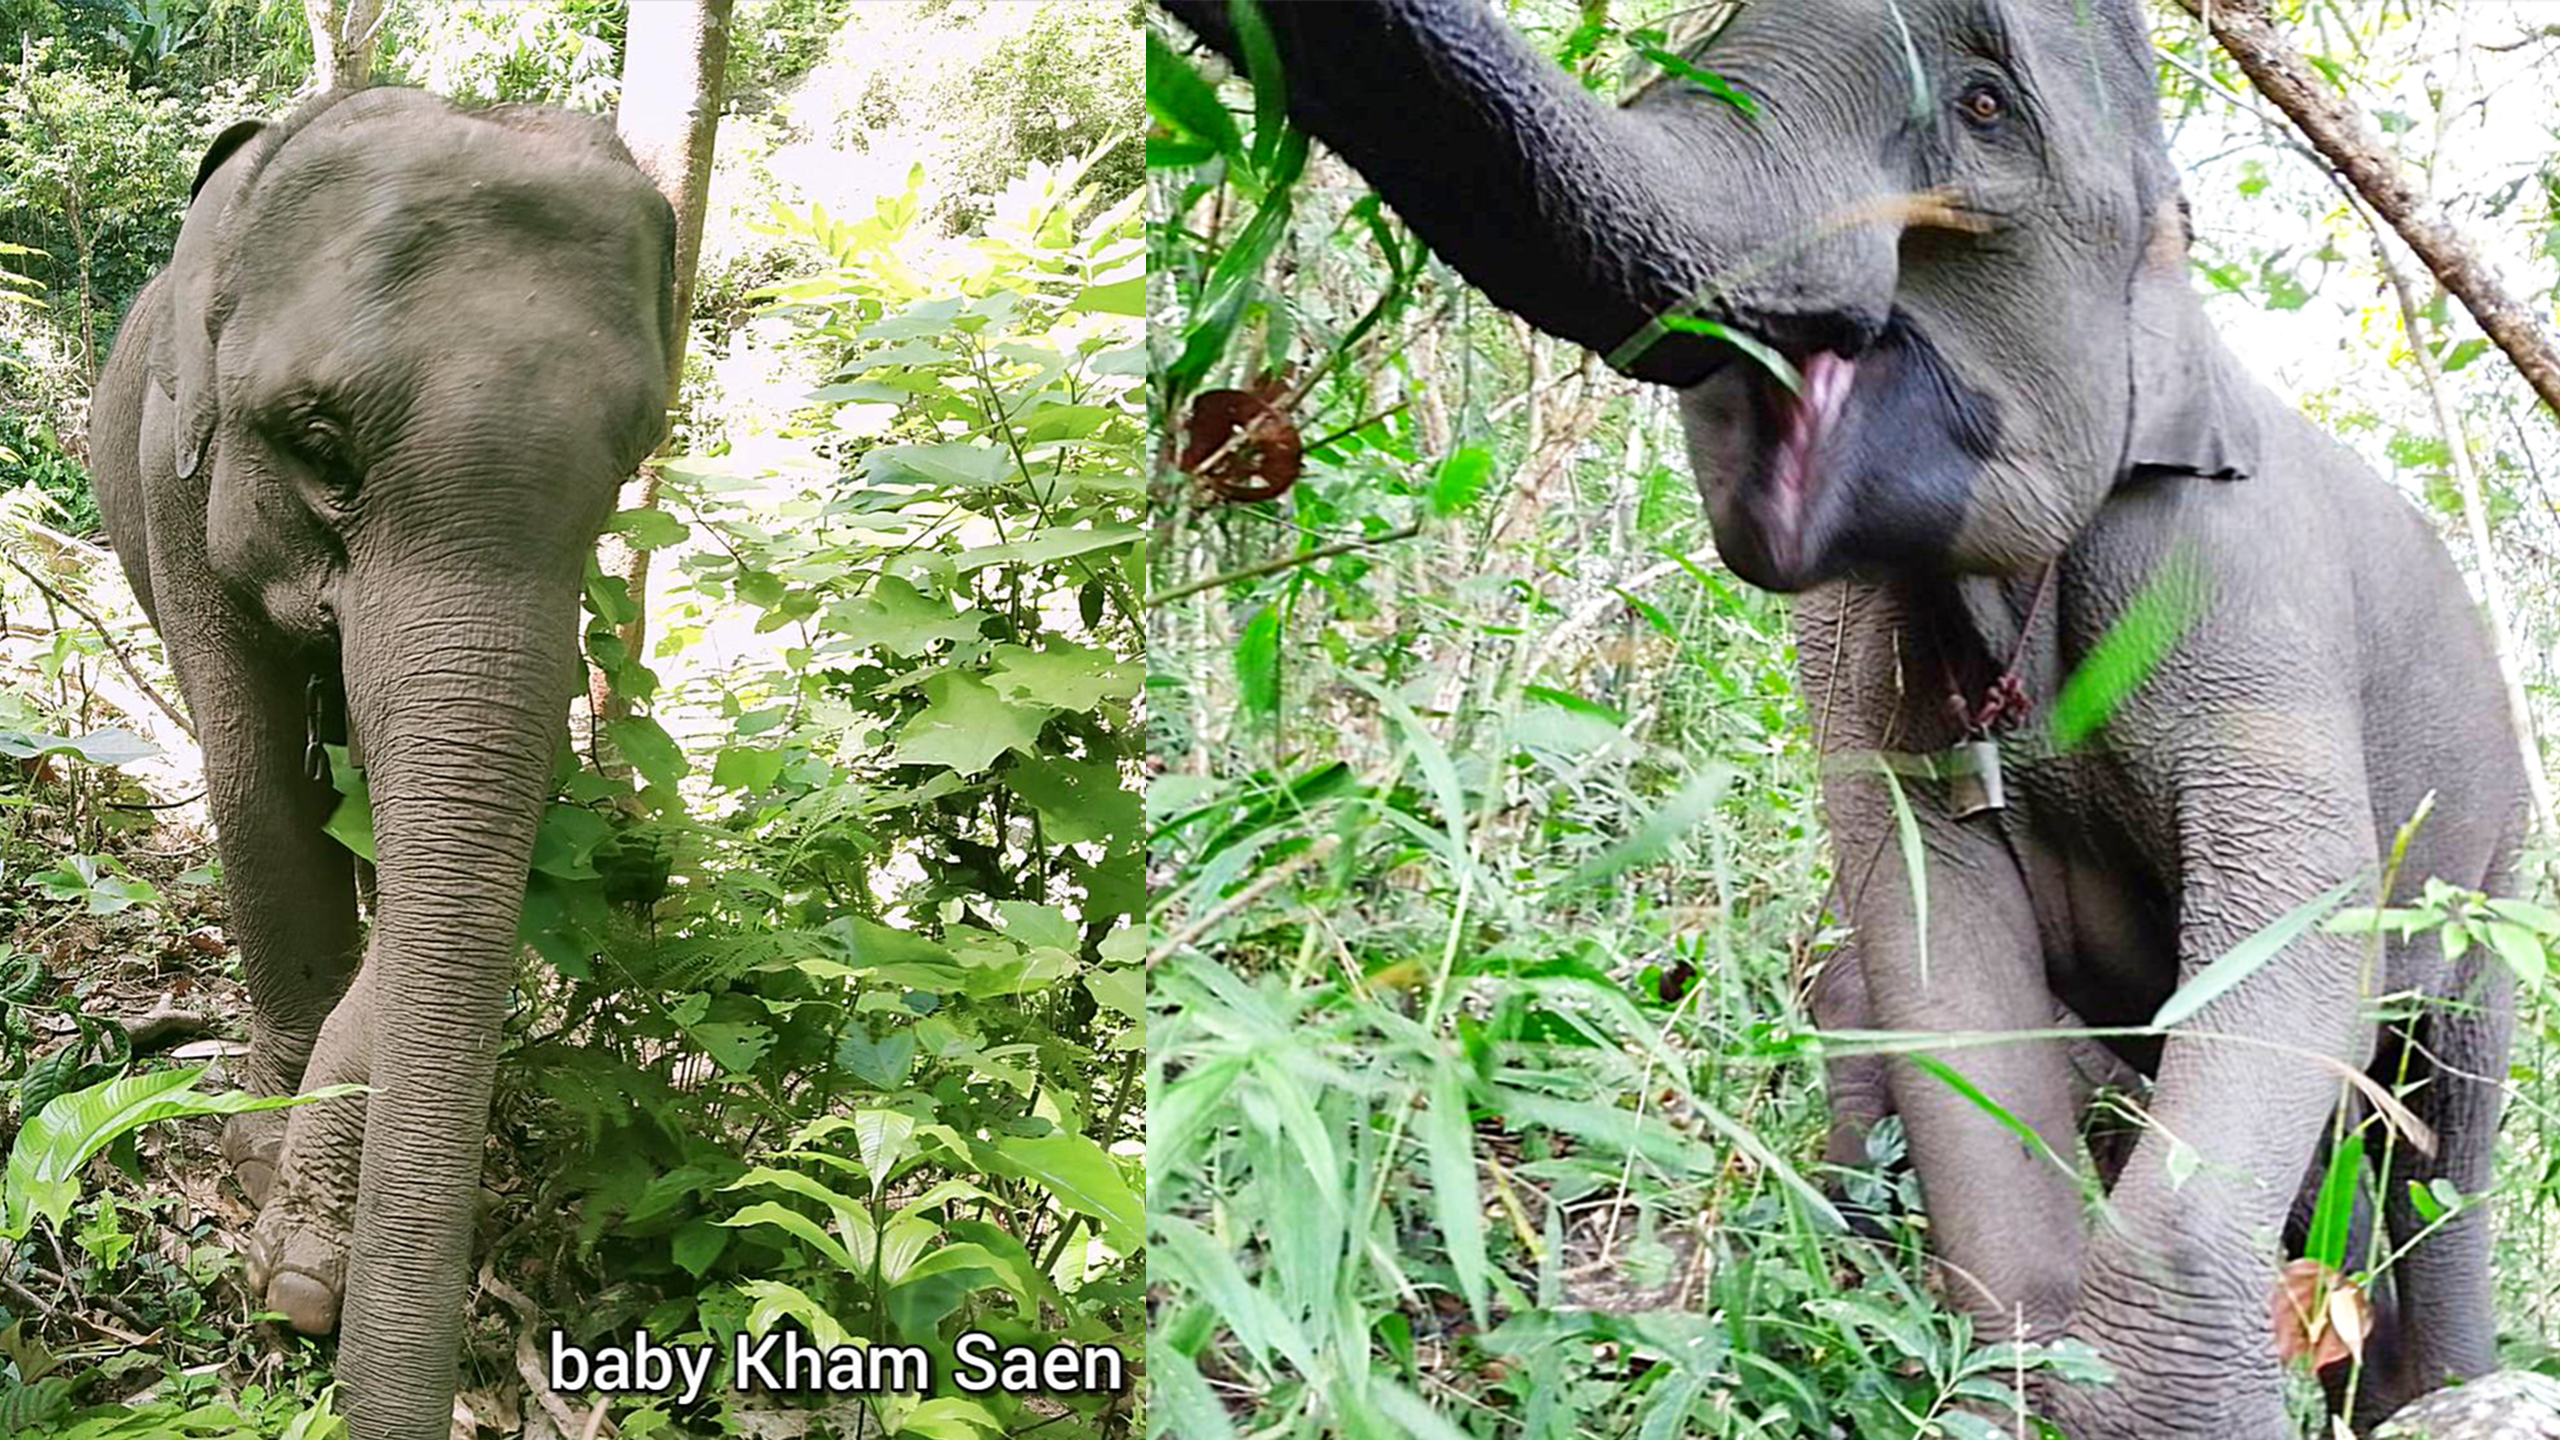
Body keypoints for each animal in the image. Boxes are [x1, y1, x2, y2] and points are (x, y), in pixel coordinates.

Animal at [87, 88, 675, 1439]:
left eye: (627, 465)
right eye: (320, 444)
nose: (312, 1324)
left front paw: (303, 1257)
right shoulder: (173, 474)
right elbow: (258, 783)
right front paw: (261, 1169)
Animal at [1156, 0, 2528, 1433]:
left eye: (1983, 108)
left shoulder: (2237, 589)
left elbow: (2296, 920)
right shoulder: (1862, 651)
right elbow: (1934, 950)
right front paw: (2008, 1379)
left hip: (2496, 870)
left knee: (2443, 1113)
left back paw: (2444, 1383)